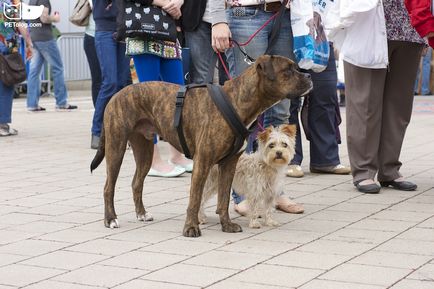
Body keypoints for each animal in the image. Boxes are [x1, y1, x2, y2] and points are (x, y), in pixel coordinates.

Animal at [90, 54, 312, 236]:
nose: (309, 77)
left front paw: (226, 225)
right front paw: (191, 227)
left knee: (137, 183)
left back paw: (142, 214)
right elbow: (195, 199)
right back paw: (110, 219)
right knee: (108, 187)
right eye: (288, 70)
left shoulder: (229, 164)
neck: (236, 101)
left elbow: (223, 199)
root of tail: (117, 94)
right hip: (116, 147)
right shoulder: (202, 162)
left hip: (144, 150)